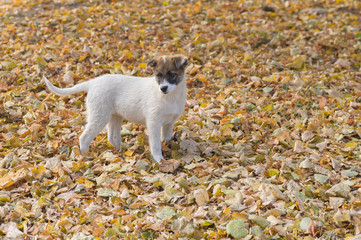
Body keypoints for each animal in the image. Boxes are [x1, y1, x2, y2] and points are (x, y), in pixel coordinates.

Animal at [43, 54, 187, 163]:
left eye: (172, 75)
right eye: (158, 75)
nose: (163, 88)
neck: (170, 98)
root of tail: (92, 82)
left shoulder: (169, 123)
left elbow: (166, 138)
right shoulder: (154, 123)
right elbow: (156, 144)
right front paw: (159, 160)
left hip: (115, 116)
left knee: (112, 137)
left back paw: (119, 152)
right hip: (100, 116)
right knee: (84, 137)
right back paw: (86, 157)